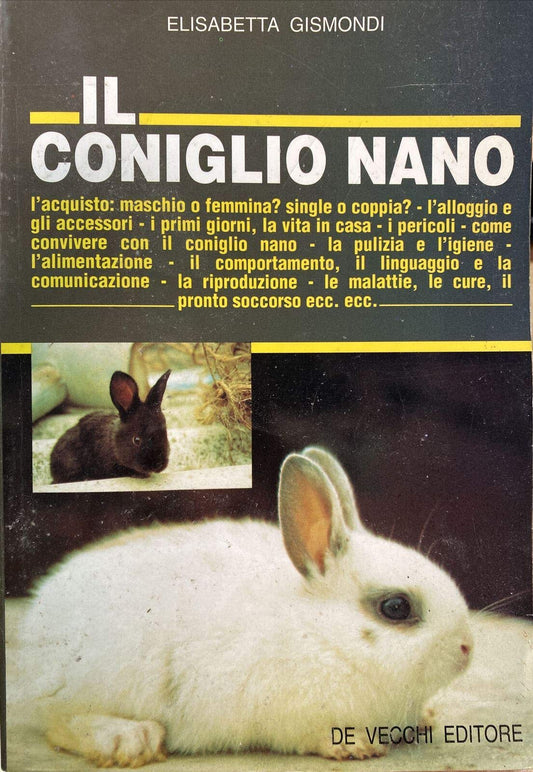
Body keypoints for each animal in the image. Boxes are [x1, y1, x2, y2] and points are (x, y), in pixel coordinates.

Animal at [18, 447, 473, 766]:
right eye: (395, 607)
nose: (468, 648)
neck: (323, 636)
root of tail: (35, 623)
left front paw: (425, 718)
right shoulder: (292, 713)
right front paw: (356, 746)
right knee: (58, 721)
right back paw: (130, 741)